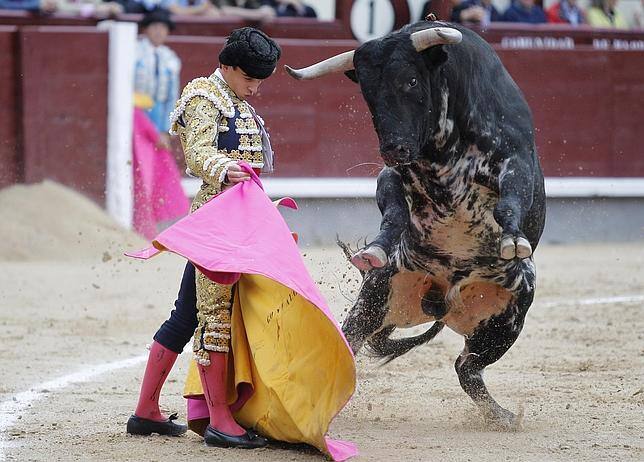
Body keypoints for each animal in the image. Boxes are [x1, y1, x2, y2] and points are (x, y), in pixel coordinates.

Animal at [286, 19, 544, 430]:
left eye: (410, 80)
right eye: (367, 92)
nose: (393, 147)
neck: (441, 148)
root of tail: (440, 302)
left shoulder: (517, 163)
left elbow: (510, 201)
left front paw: (514, 241)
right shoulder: (390, 175)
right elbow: (393, 213)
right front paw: (375, 248)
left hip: (511, 313)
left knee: (467, 366)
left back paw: (502, 417)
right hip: (378, 297)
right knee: (353, 344)